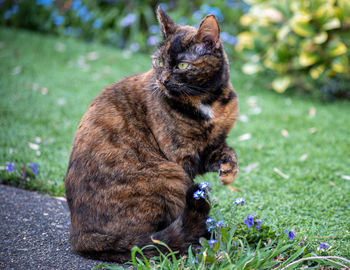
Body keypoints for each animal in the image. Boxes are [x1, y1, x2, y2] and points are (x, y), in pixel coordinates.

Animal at [64, 6, 239, 262]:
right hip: (170, 176)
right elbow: (193, 191)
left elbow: (228, 152)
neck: (206, 100)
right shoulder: (183, 158)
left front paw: (228, 174)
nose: (163, 80)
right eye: (158, 61)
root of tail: (79, 234)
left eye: (182, 65)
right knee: (147, 241)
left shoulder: (212, 146)